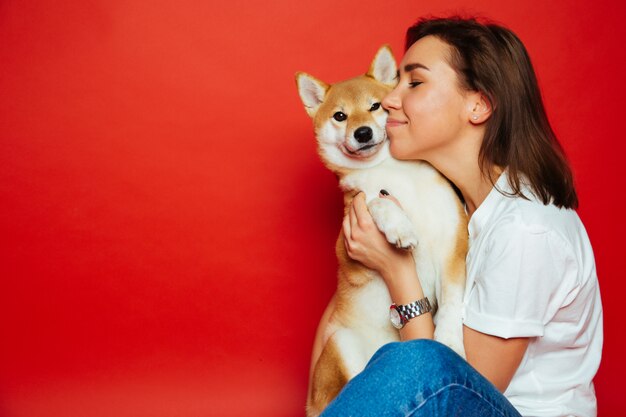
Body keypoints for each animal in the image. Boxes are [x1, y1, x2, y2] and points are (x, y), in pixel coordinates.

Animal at [294, 45, 466, 416]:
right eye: (340, 116)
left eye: (375, 106)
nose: (362, 132)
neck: (393, 171)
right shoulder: (348, 246)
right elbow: (377, 202)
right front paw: (399, 224)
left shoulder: (455, 242)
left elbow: (451, 302)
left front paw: (449, 342)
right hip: (342, 343)